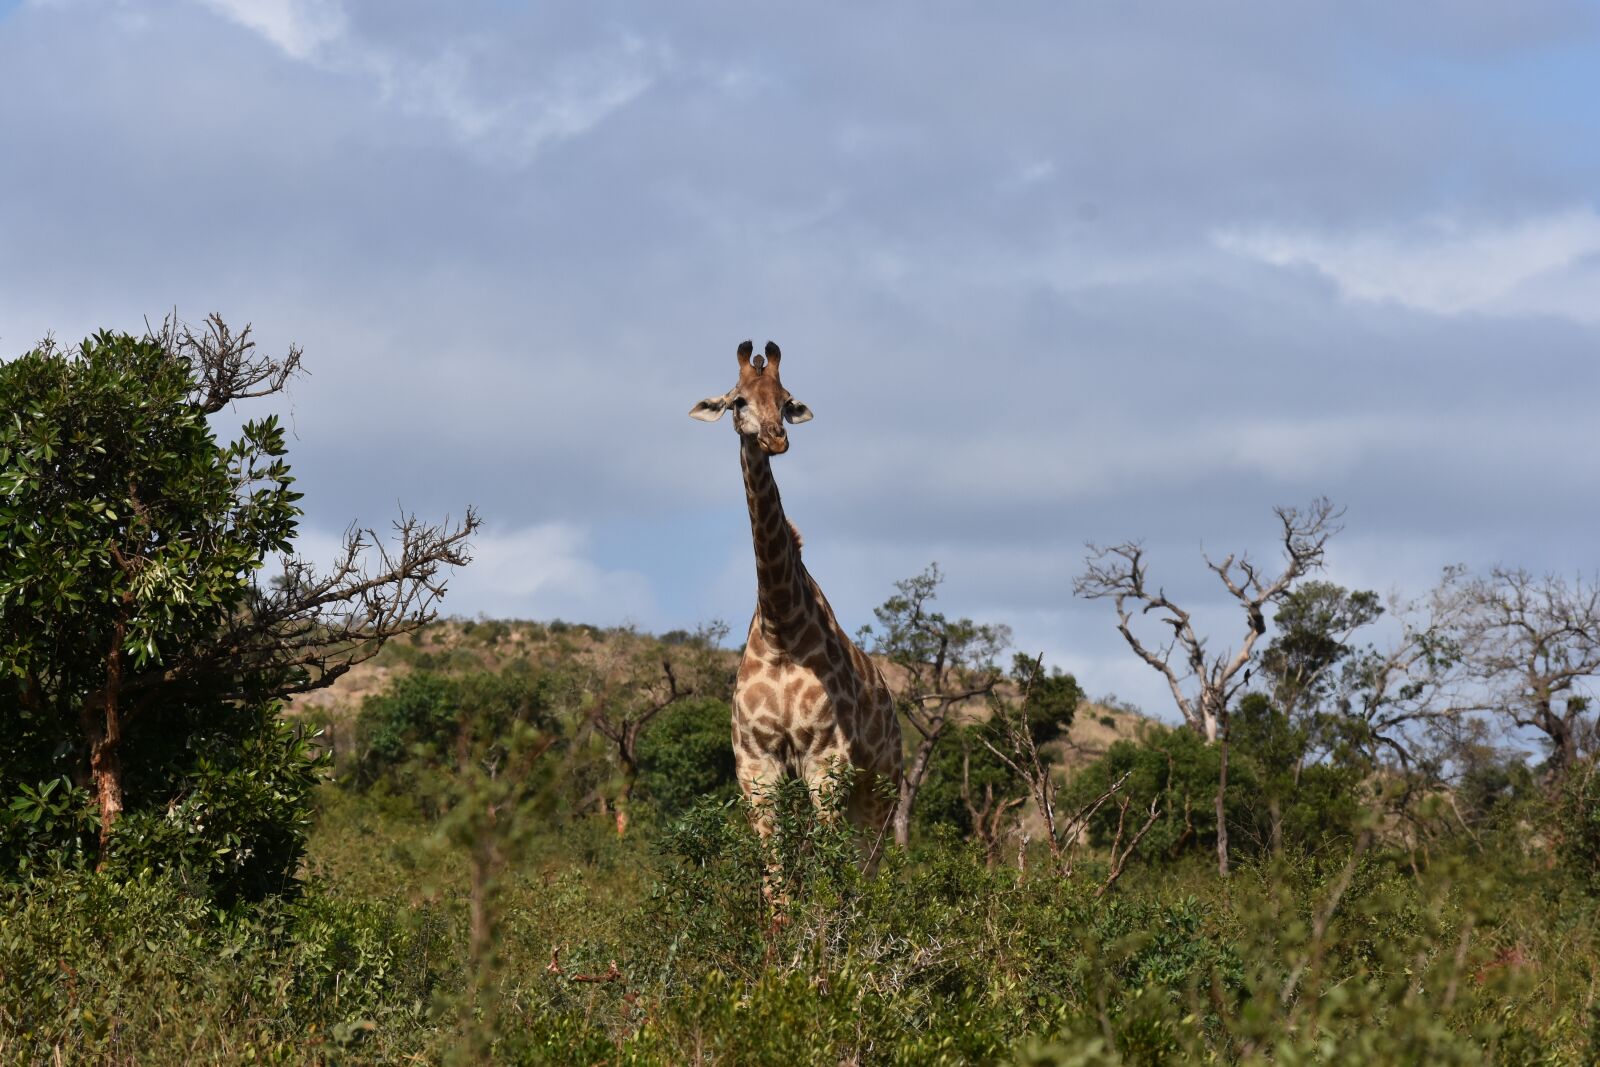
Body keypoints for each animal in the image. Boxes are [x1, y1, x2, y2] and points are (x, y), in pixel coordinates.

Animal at [689, 340, 903, 858]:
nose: (775, 439)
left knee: (867, 861)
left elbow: (827, 867)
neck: (781, 627)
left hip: (882, 784)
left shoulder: (826, 759)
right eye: (738, 400)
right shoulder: (756, 766)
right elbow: (776, 869)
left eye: (787, 400)